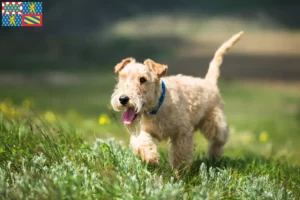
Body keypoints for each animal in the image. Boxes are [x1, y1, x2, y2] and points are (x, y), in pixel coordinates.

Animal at [110, 31, 244, 169]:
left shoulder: (182, 132)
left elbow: (180, 154)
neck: (157, 106)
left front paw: (180, 171)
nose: (123, 99)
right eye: (122, 77)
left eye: (143, 79)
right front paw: (151, 157)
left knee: (221, 137)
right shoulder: (144, 130)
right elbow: (140, 141)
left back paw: (214, 157)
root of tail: (209, 82)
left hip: (214, 122)